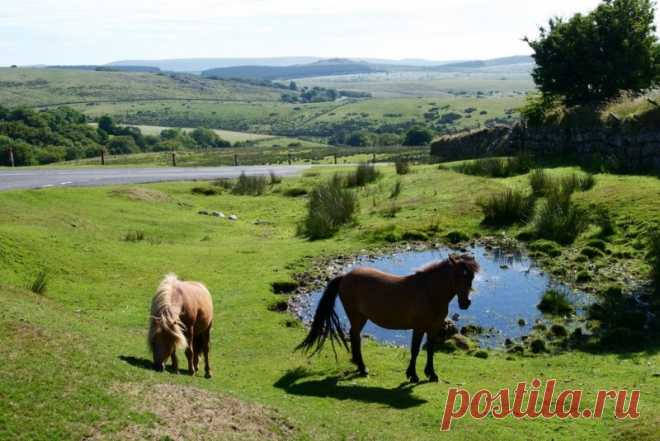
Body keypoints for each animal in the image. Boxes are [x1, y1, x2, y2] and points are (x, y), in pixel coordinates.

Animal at [298, 254, 480, 382]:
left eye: (471, 277)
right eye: (458, 276)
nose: (466, 303)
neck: (429, 292)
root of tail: (345, 276)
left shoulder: (433, 328)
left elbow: (431, 350)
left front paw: (431, 374)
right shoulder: (419, 328)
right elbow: (415, 350)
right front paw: (412, 375)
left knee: (354, 336)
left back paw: (358, 364)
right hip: (357, 317)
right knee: (355, 337)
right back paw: (362, 368)